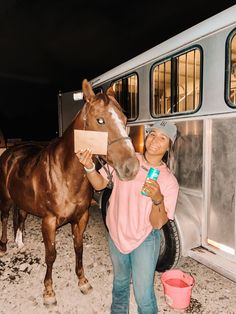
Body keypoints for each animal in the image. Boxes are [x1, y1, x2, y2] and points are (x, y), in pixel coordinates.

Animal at [0, 79, 140, 306]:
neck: (65, 175)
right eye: (100, 120)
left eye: (125, 119)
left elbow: (79, 247)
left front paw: (83, 281)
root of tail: (11, 152)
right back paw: (4, 247)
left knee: (20, 216)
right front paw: (49, 292)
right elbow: (51, 255)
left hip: (23, 201)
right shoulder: (48, 222)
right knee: (4, 218)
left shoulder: (81, 217)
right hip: (5, 198)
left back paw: (20, 243)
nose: (132, 168)